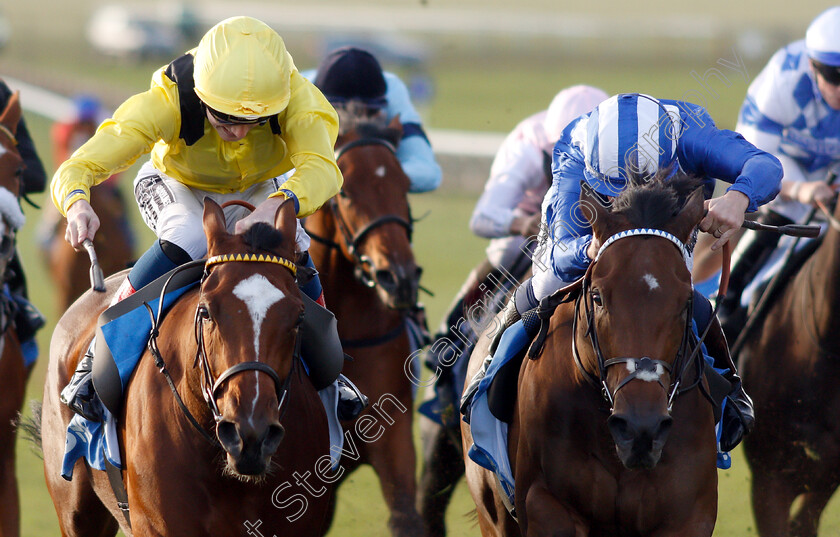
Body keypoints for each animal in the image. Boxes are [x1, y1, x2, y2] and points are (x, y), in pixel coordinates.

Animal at [462, 174, 720, 532]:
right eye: (597, 297)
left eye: (686, 302)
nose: (641, 428)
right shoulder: (546, 503)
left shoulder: (688, 514)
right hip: (493, 514)